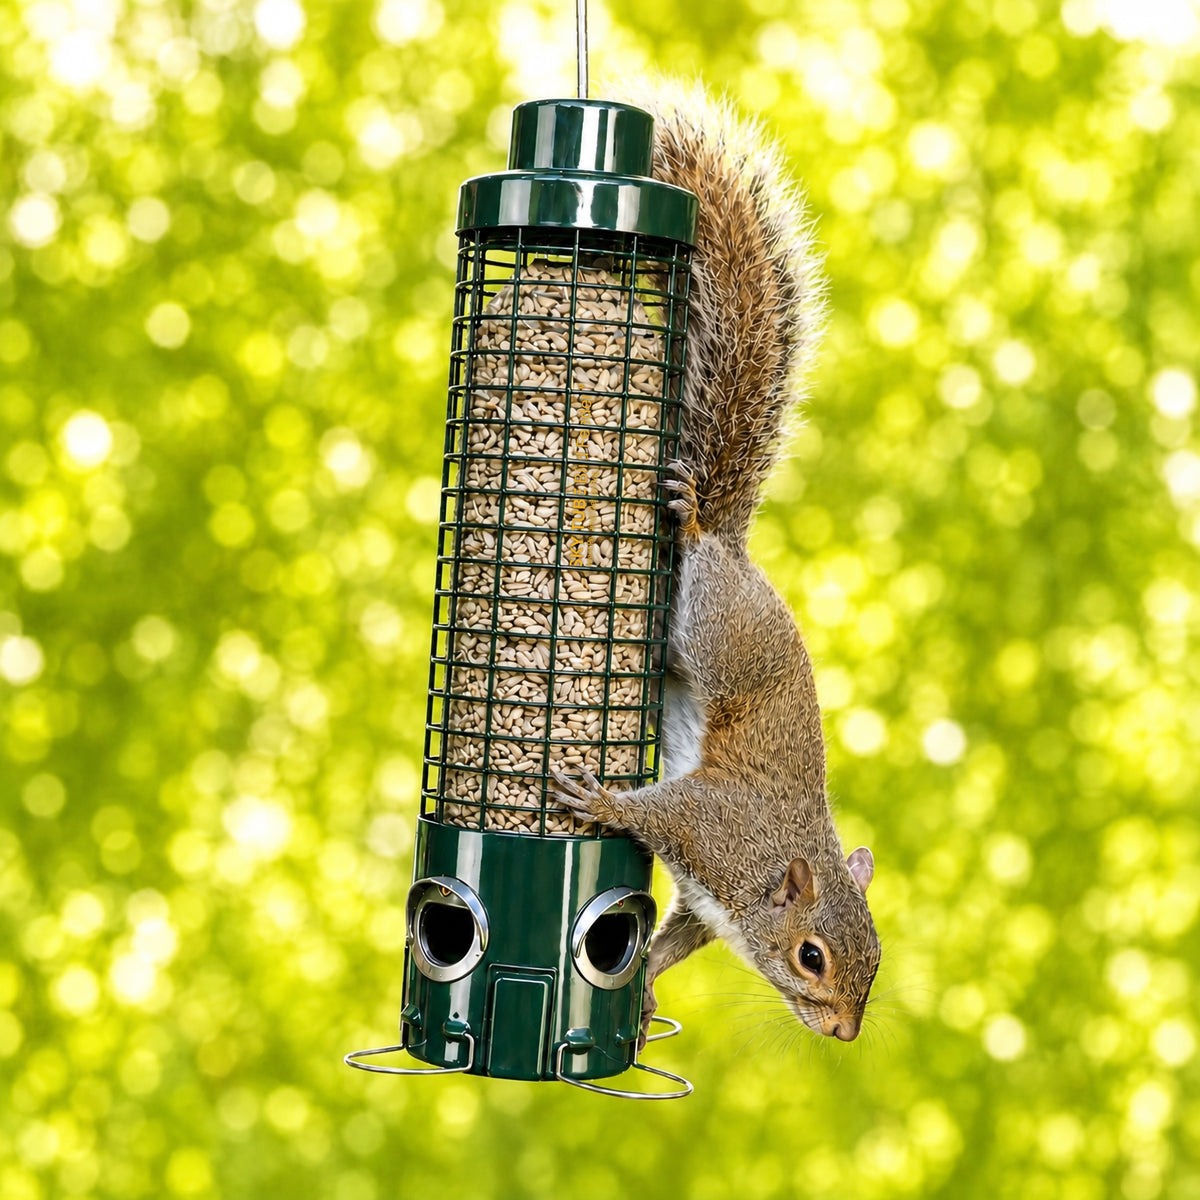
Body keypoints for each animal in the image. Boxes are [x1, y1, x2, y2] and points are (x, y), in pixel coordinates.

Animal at [551, 81, 881, 1047]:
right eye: (812, 957)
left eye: (877, 959)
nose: (845, 1034)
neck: (765, 874)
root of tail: (736, 553)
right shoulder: (711, 829)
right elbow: (655, 812)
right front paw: (601, 804)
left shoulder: (705, 902)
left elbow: (665, 940)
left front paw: (644, 991)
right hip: (711, 624)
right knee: (694, 565)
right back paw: (692, 519)